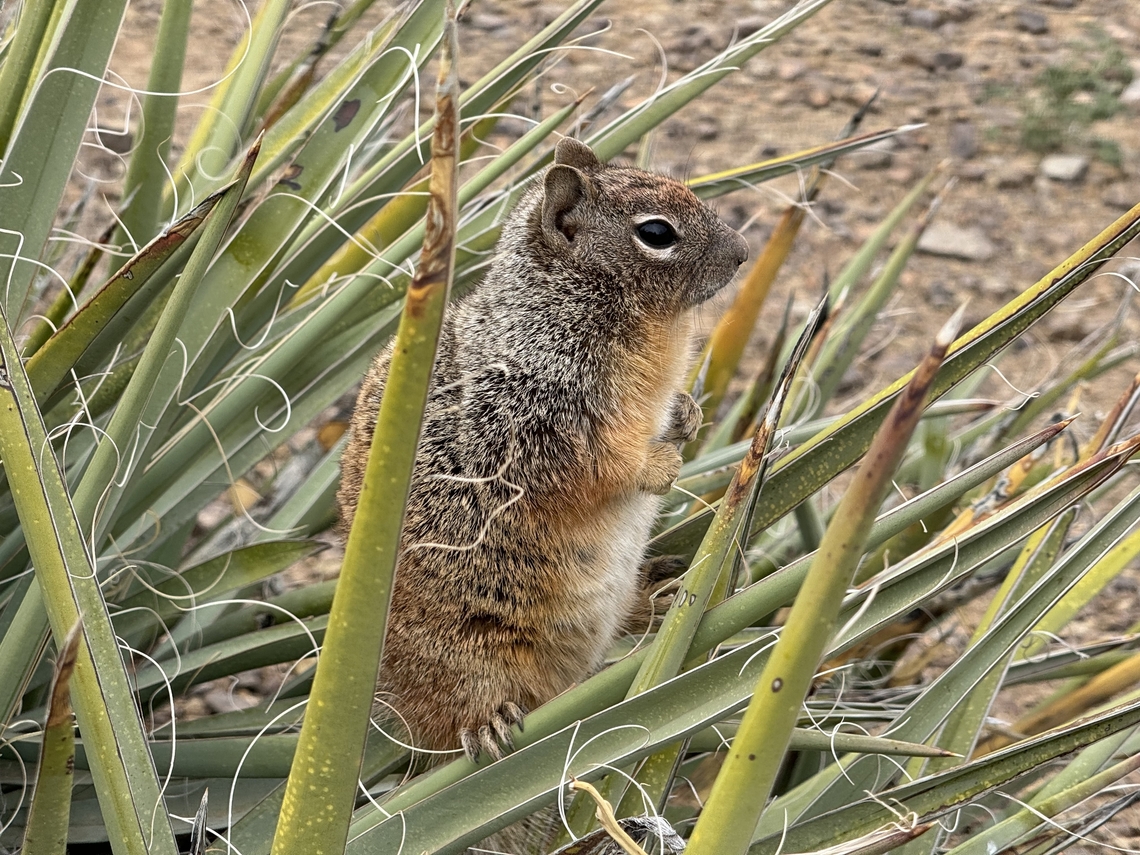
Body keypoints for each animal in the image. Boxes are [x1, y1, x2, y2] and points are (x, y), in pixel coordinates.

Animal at [337, 137, 748, 763]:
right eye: (656, 232)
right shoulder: (532, 418)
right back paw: (489, 726)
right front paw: (661, 465)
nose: (745, 252)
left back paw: (658, 596)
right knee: (460, 710)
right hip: (464, 656)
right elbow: (607, 467)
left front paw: (686, 415)